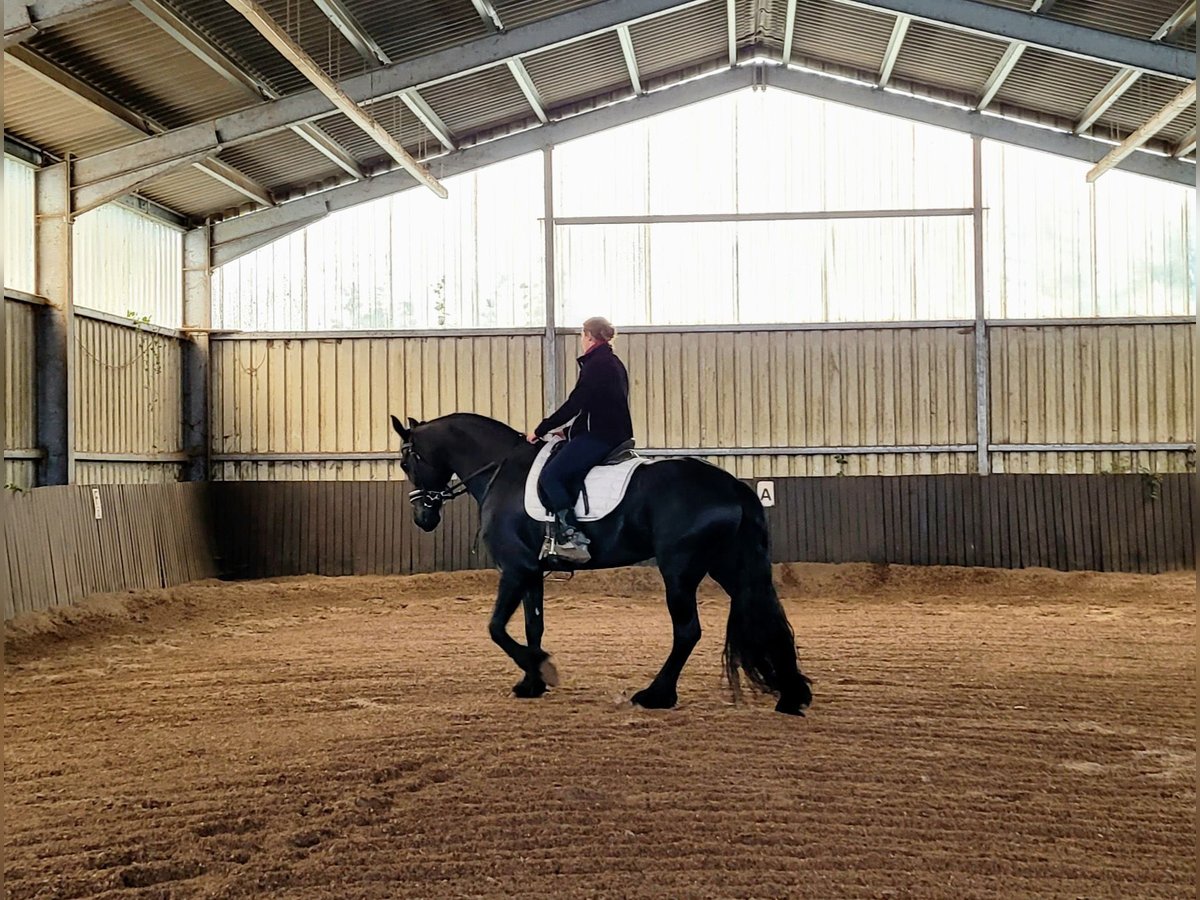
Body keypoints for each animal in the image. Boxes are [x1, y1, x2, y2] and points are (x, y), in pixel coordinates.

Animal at [388, 412, 811, 715]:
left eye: (407, 462)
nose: (423, 518)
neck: (501, 470)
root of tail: (732, 485)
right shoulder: (532, 572)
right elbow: (532, 625)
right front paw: (532, 683)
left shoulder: (515, 568)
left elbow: (495, 628)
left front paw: (543, 669)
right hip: (728, 566)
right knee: (765, 618)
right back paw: (792, 695)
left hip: (680, 569)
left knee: (687, 631)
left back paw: (656, 695)